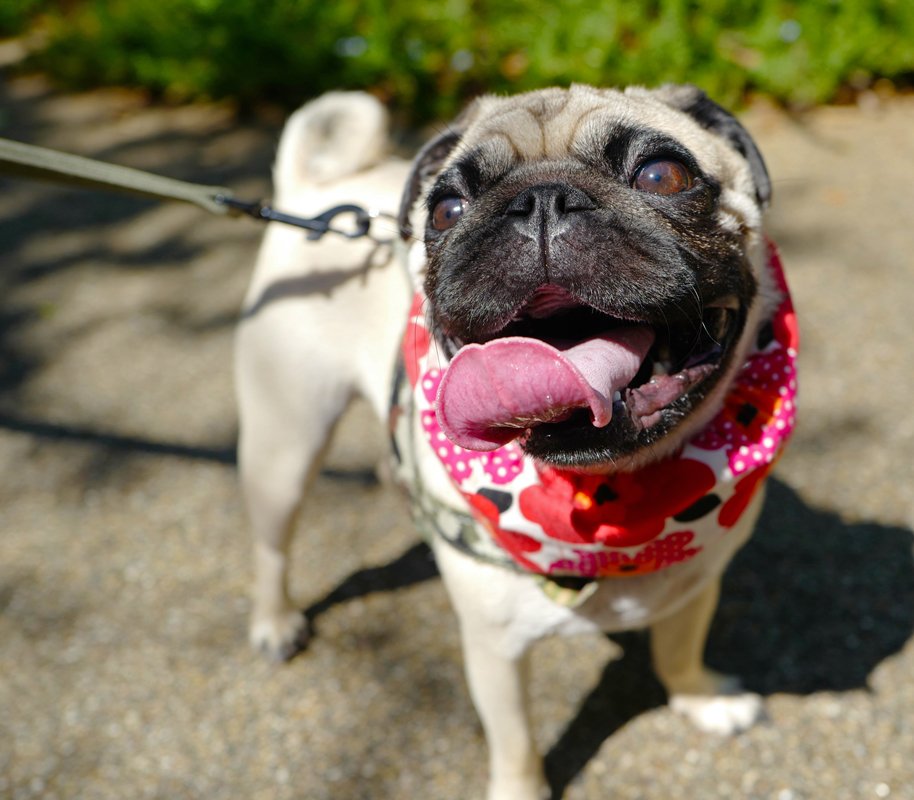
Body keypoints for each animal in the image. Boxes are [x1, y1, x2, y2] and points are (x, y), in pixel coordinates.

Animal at [236, 85, 798, 800]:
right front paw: (523, 787)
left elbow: (679, 648)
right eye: (446, 209)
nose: (543, 200)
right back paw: (274, 623)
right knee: (272, 543)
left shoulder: (697, 584)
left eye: (661, 175)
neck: (610, 499)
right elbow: (516, 744)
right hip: (284, 442)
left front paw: (701, 700)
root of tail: (315, 189)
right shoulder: (494, 650)